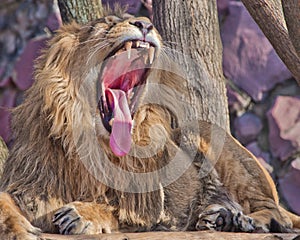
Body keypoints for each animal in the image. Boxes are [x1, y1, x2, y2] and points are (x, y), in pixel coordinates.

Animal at [0, 9, 300, 240]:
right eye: (107, 23)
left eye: (143, 20)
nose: (145, 24)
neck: (91, 142)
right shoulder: (30, 186)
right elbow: (4, 201)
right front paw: (19, 229)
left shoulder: (157, 208)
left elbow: (121, 209)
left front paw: (82, 214)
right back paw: (221, 217)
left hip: (227, 157)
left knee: (277, 214)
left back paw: (247, 220)